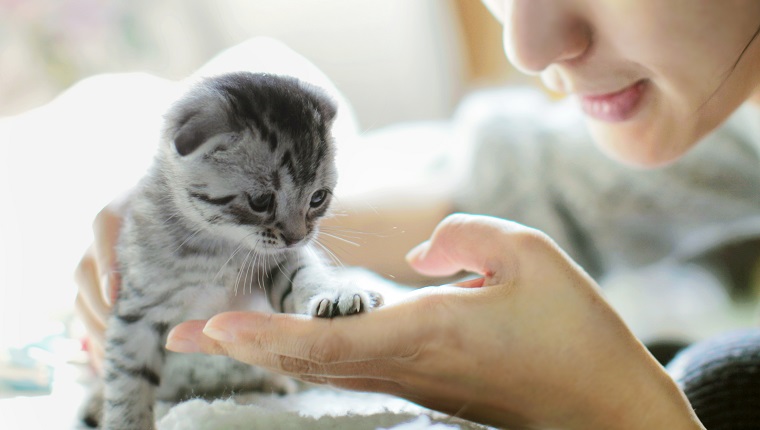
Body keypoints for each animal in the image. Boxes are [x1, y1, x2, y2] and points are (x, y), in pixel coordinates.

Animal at [82, 72, 382, 428]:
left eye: (318, 198)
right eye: (261, 201)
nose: (297, 237)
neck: (220, 244)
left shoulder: (279, 260)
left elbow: (303, 274)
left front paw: (334, 293)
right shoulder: (138, 312)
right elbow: (128, 381)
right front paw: (126, 422)